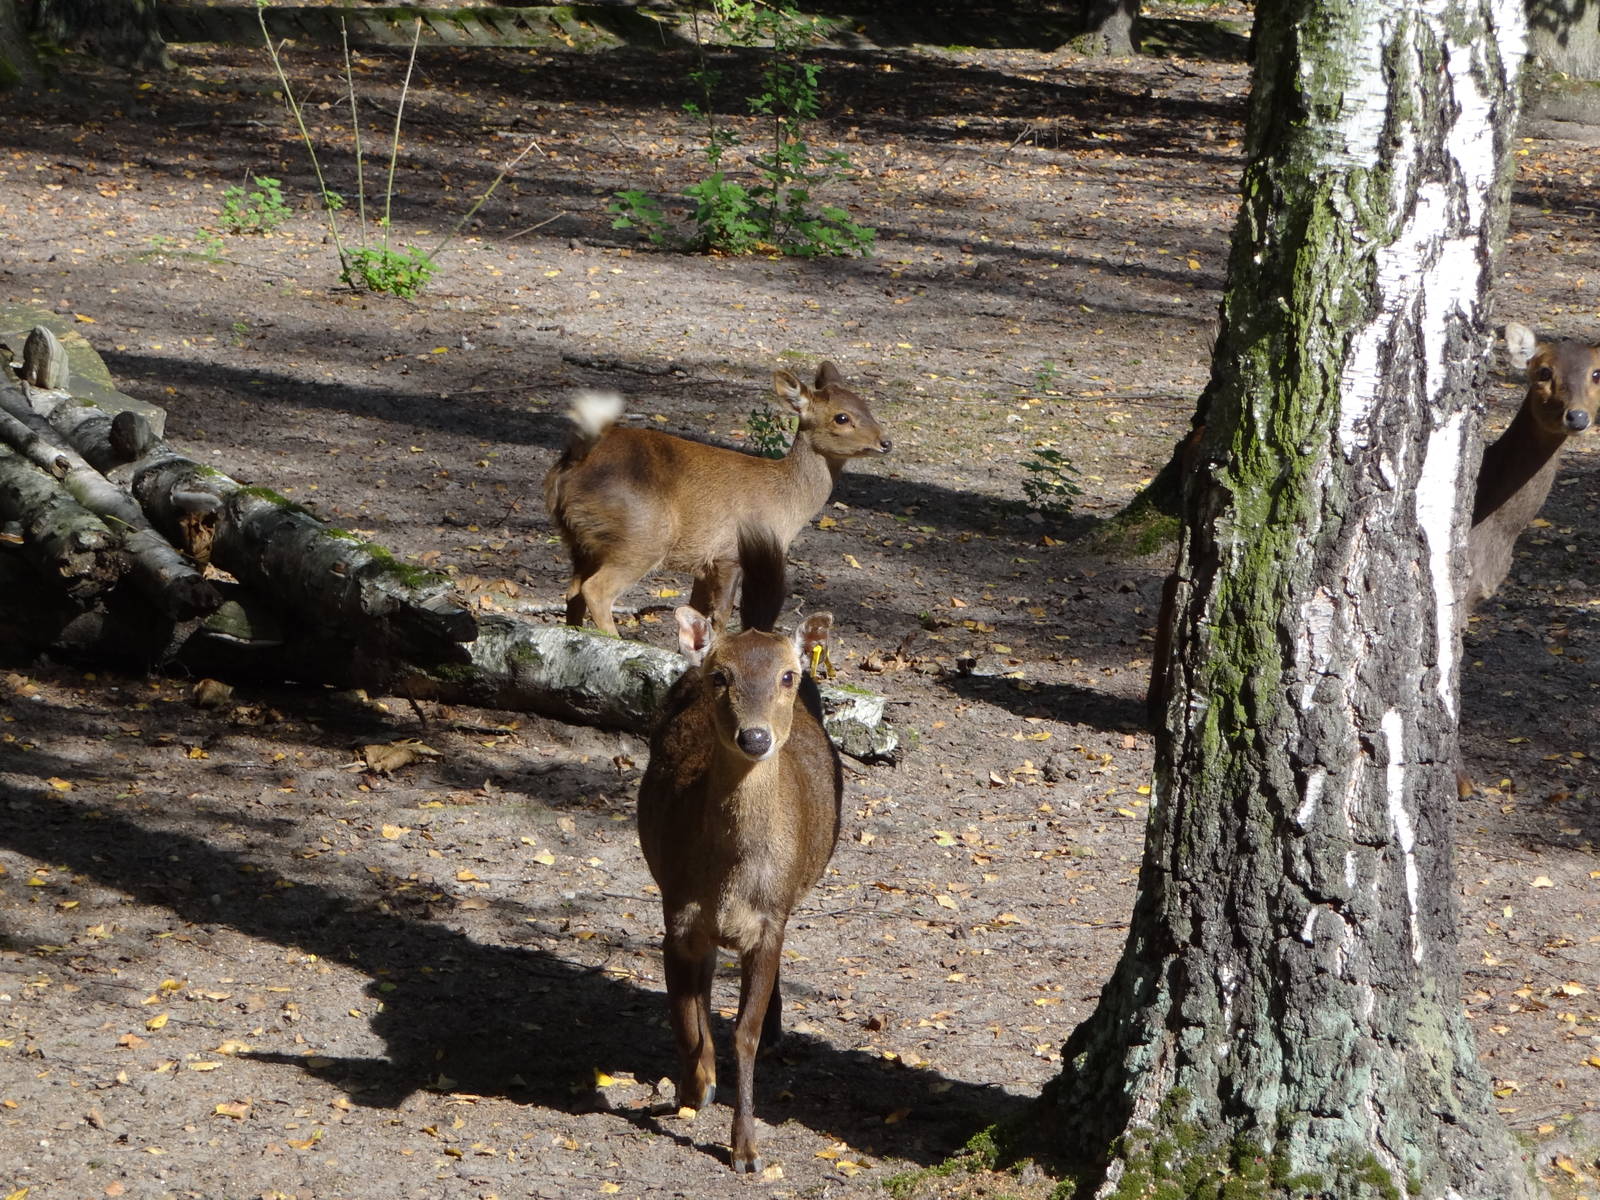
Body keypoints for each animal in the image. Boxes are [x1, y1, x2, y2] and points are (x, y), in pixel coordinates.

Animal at [543, 362, 889, 637]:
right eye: (842, 418)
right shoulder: (730, 553)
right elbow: (720, 615)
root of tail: (577, 458)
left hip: (580, 539)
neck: (784, 503)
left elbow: (694, 614)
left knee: (573, 591)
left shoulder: (704, 562)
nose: (885, 442)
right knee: (596, 590)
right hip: (642, 536)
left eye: (867, 407)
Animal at [635, 526, 842, 1173]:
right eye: (720, 677)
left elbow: (742, 1031)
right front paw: (695, 1085)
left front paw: (746, 1148)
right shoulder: (677, 909)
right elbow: (685, 1013)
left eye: (786, 677)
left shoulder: (769, 921)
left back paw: (776, 1031)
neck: (728, 881)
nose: (755, 737)